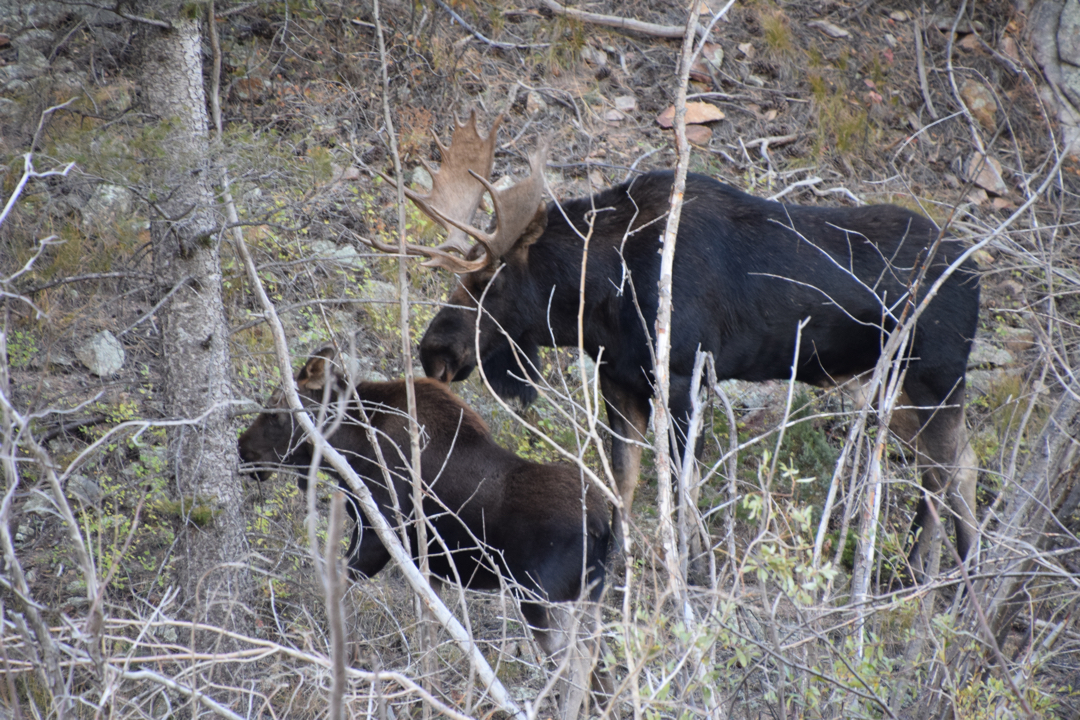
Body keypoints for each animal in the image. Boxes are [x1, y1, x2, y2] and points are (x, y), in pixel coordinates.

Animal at [236, 349, 609, 716]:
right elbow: (428, 638)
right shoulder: (430, 568)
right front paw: (427, 697)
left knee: (577, 662)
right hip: (587, 597)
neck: (351, 448)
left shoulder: (378, 534)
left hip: (540, 596)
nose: (243, 448)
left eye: (275, 410)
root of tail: (605, 527)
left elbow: (337, 589)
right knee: (599, 658)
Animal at [367, 112, 984, 578]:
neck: (602, 297)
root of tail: (976, 271)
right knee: (961, 464)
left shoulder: (685, 374)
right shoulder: (617, 378)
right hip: (890, 383)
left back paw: (936, 575)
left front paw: (690, 574)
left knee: (947, 470)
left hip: (935, 375)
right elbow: (624, 482)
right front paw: (615, 569)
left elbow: (681, 491)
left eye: (487, 283)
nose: (434, 350)